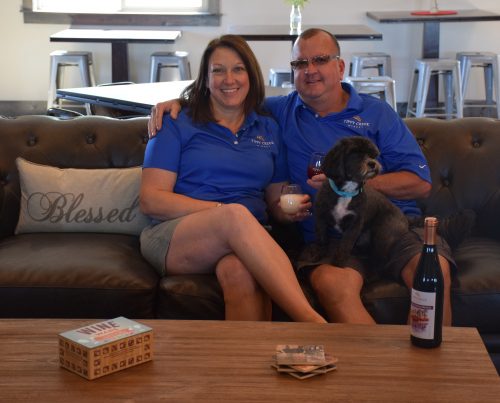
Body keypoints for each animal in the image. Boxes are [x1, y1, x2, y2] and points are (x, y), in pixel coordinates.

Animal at [312, 137, 410, 268]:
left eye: (372, 155)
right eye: (355, 153)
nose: (372, 163)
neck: (347, 192)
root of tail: (405, 218)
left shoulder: (354, 225)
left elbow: (345, 245)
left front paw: (338, 263)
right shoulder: (321, 217)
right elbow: (321, 237)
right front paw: (318, 253)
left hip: (384, 234)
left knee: (381, 259)